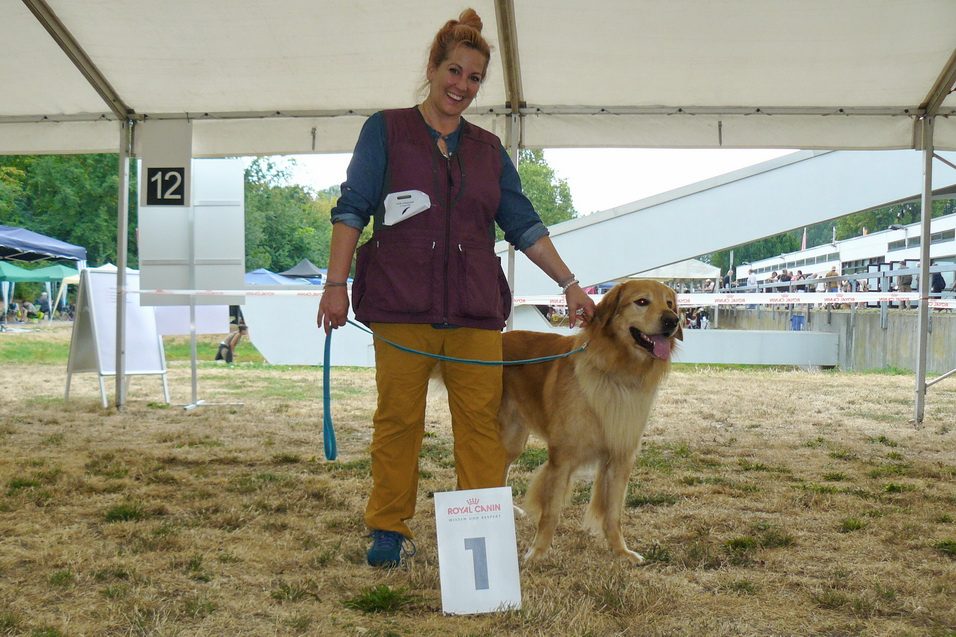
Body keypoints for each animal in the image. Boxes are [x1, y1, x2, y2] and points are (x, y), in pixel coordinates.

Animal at [500, 278, 680, 560]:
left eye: (670, 303)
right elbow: (550, 513)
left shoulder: (620, 457)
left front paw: (621, 551)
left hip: (514, 440)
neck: (618, 374)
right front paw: (538, 553)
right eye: (642, 302)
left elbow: (614, 514)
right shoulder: (561, 459)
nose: (673, 321)